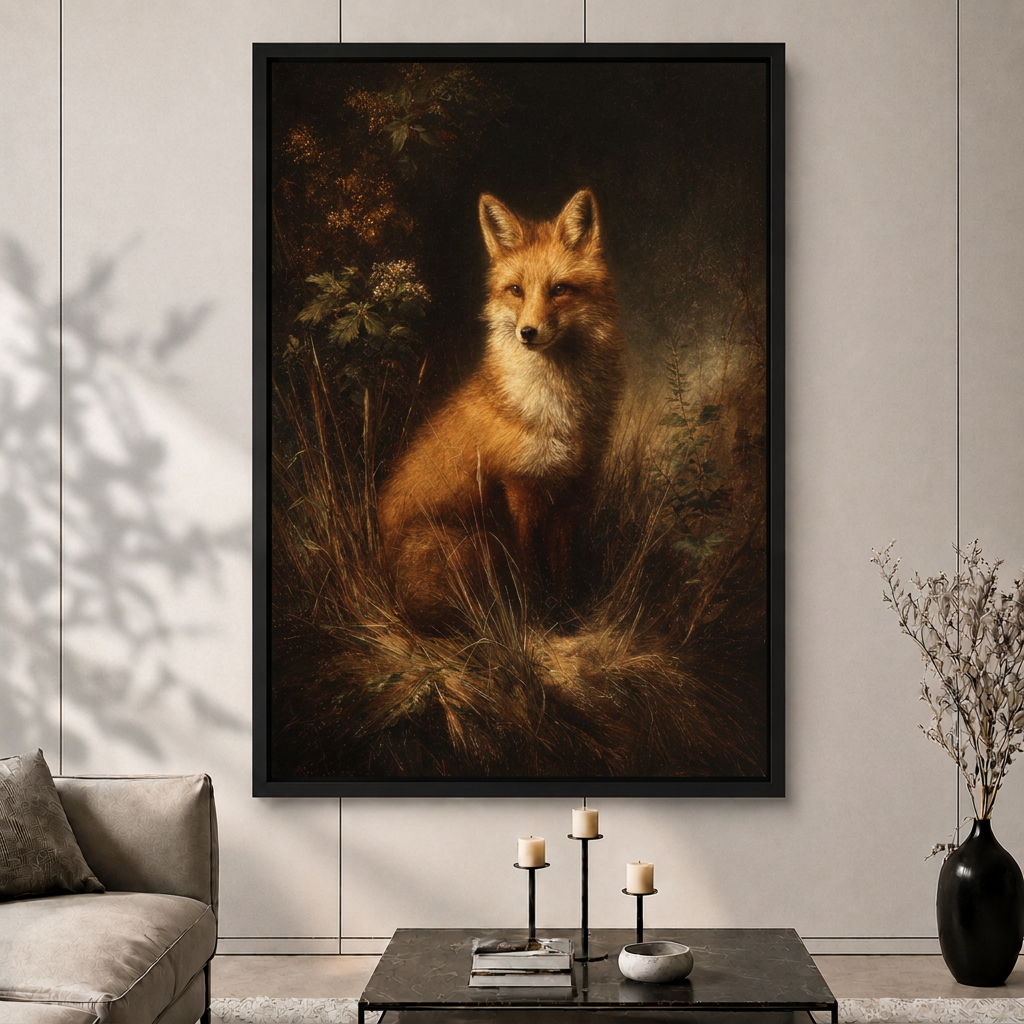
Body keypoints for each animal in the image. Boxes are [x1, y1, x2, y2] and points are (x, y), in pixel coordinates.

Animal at [377, 188, 625, 628]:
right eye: (516, 290)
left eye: (559, 289)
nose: (528, 332)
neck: (558, 412)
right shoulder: (519, 489)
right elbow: (528, 567)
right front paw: (535, 618)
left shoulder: (571, 489)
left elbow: (561, 564)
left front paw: (568, 615)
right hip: (475, 543)